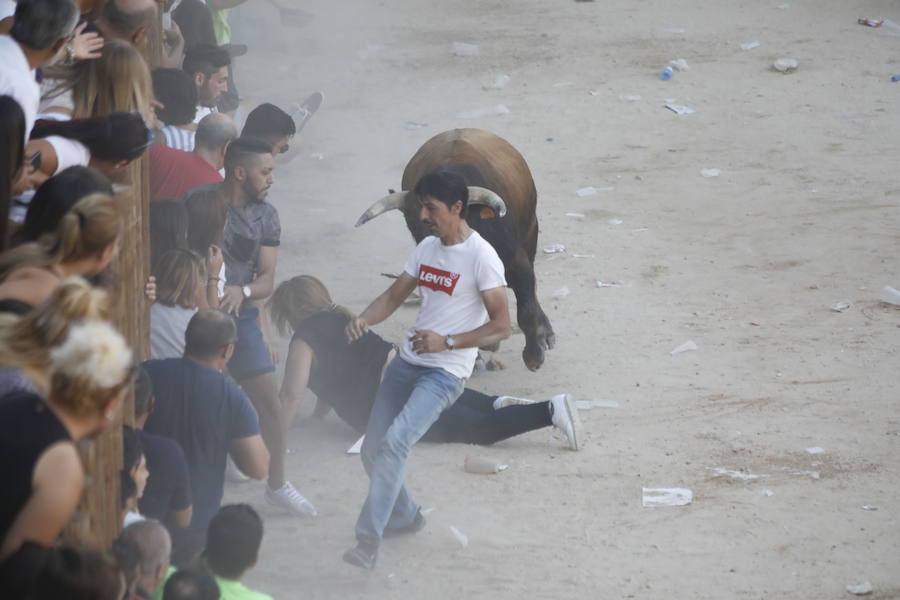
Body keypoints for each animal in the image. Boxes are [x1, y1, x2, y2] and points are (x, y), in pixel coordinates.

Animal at [356, 127, 556, 370]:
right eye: (413, 225)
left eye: (435, 217)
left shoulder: (518, 263)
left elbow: (527, 307)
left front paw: (534, 354)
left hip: (531, 233)